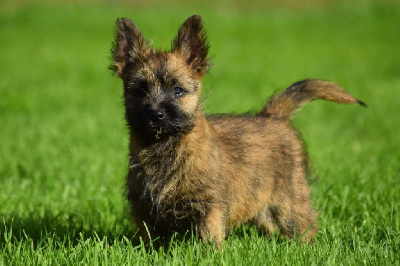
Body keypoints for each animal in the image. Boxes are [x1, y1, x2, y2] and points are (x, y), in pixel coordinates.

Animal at [109, 14, 366, 247]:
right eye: (140, 90)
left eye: (178, 91)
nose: (156, 114)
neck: (164, 147)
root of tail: (272, 115)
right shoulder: (143, 210)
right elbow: (150, 242)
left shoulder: (210, 208)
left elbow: (209, 240)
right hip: (262, 204)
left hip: (290, 200)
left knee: (306, 226)